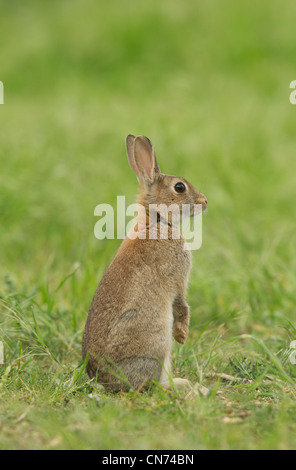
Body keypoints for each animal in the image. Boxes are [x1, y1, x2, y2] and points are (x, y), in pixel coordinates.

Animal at [82, 134, 208, 392]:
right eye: (179, 187)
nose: (205, 201)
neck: (157, 220)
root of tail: (104, 381)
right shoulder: (177, 277)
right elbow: (182, 305)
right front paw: (182, 335)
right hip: (155, 348)